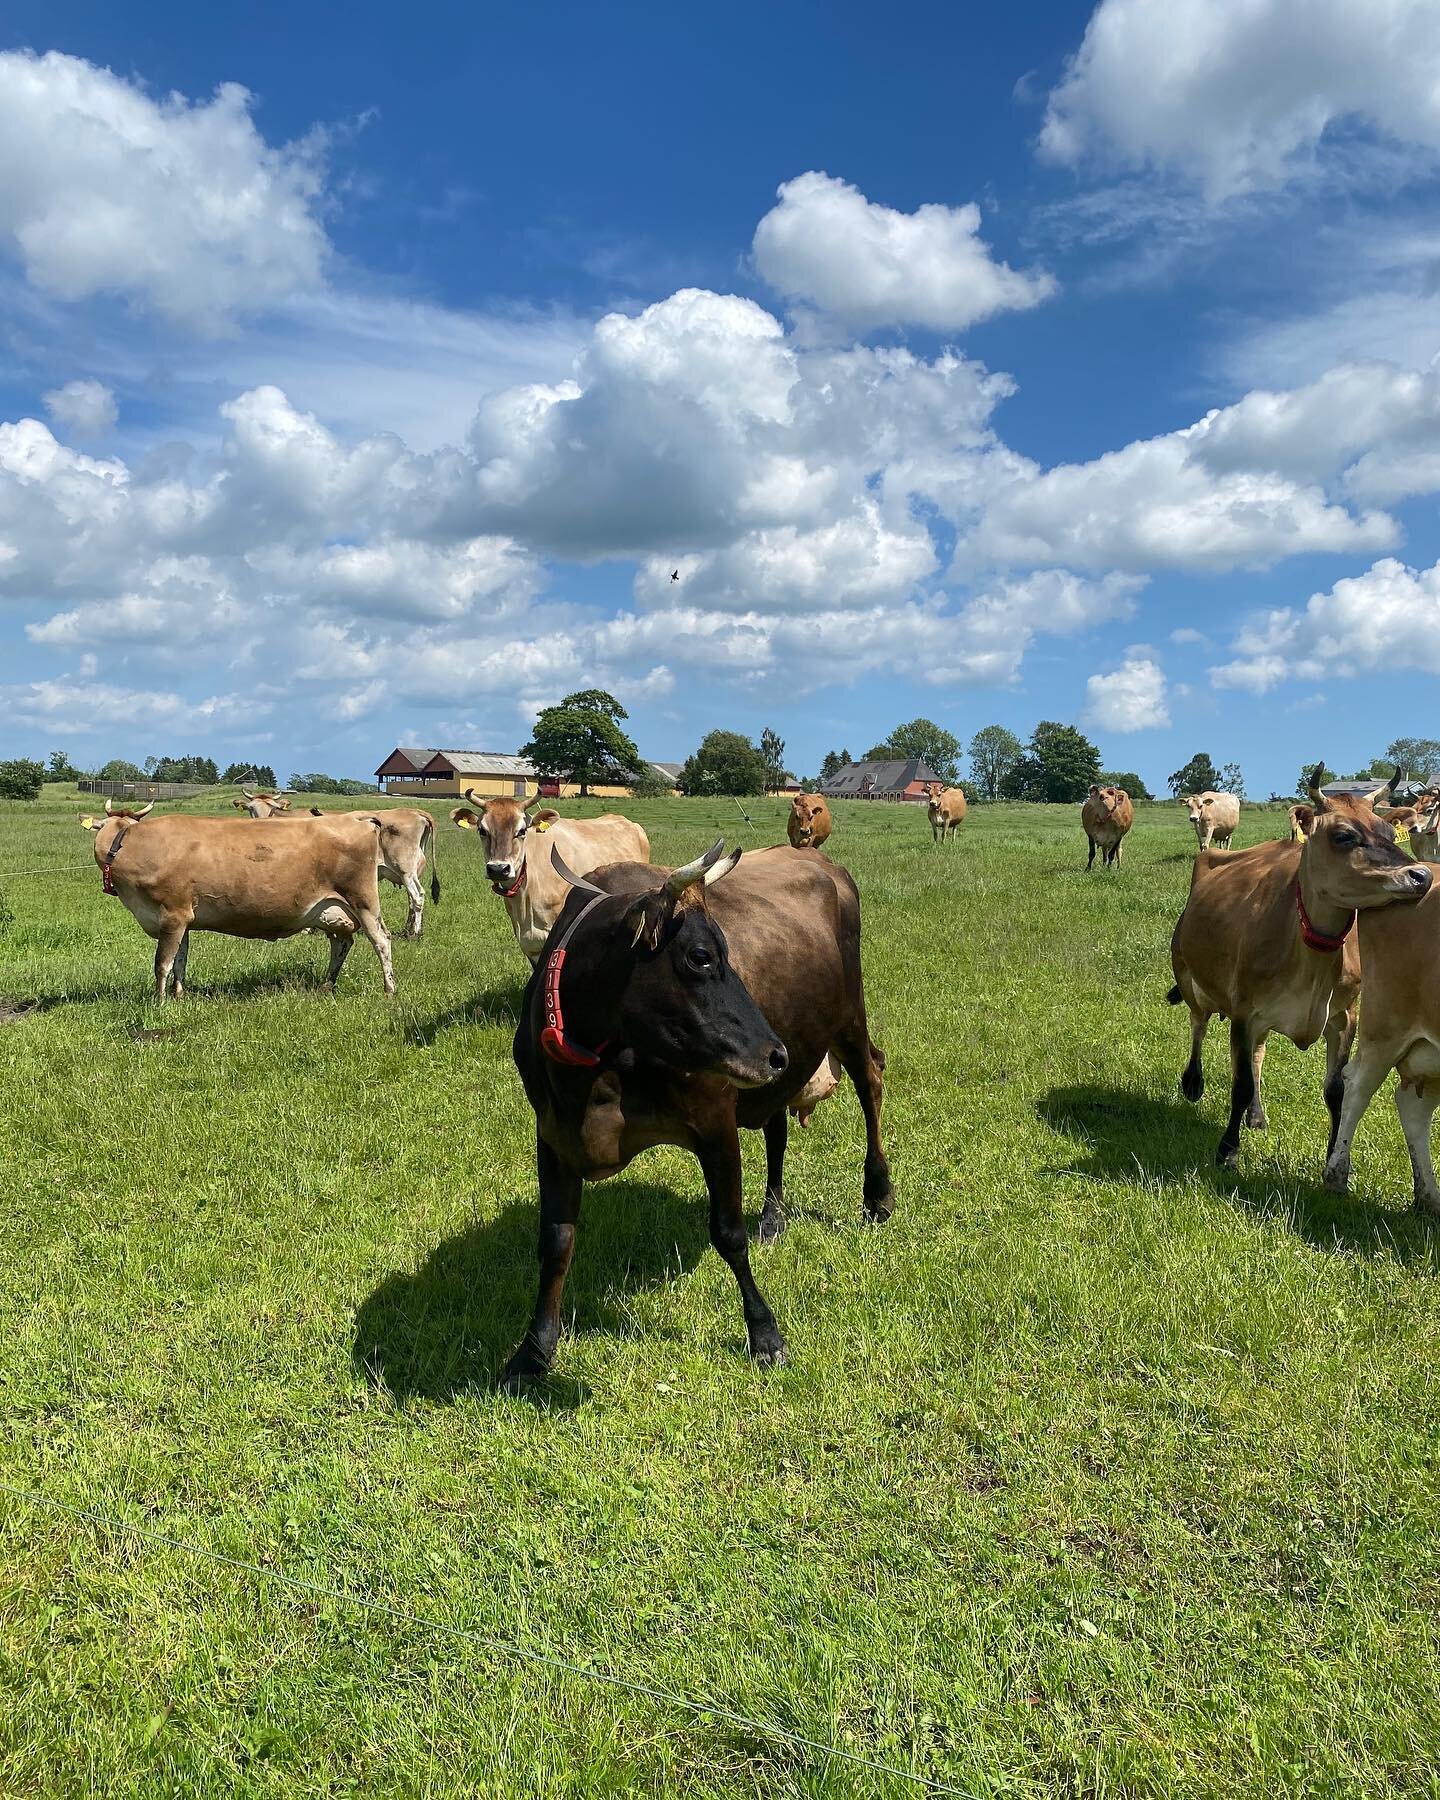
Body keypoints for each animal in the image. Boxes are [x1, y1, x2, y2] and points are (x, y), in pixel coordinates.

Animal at [77, 799, 394, 1000]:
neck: (131, 844)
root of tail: (356, 817)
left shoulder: (172, 913)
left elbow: (162, 962)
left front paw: (159, 1002)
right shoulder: (183, 917)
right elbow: (181, 958)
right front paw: (179, 995)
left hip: (362, 899)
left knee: (381, 939)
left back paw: (390, 990)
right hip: (330, 910)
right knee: (341, 943)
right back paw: (326, 986)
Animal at [500, 842, 892, 1389]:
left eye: (725, 950)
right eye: (701, 956)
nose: (775, 1053)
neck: (596, 1076)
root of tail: (819, 860)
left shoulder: (715, 1124)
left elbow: (728, 1233)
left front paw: (764, 1334)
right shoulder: (553, 1134)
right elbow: (556, 1243)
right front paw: (534, 1351)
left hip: (849, 1016)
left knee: (869, 1082)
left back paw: (878, 1194)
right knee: (776, 1125)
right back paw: (773, 1215)